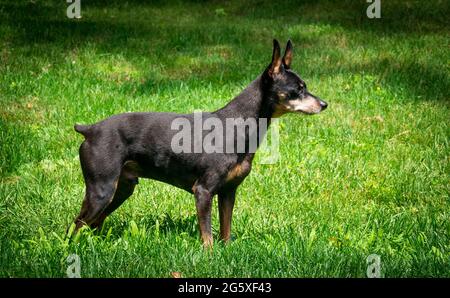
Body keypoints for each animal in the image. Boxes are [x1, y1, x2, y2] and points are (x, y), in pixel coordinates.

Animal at [73, 39, 326, 247]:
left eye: (305, 87)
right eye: (298, 90)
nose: (324, 104)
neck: (238, 125)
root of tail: (91, 130)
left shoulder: (228, 193)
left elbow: (225, 231)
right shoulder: (203, 191)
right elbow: (208, 236)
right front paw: (210, 257)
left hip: (122, 188)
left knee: (92, 223)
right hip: (102, 190)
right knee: (77, 223)